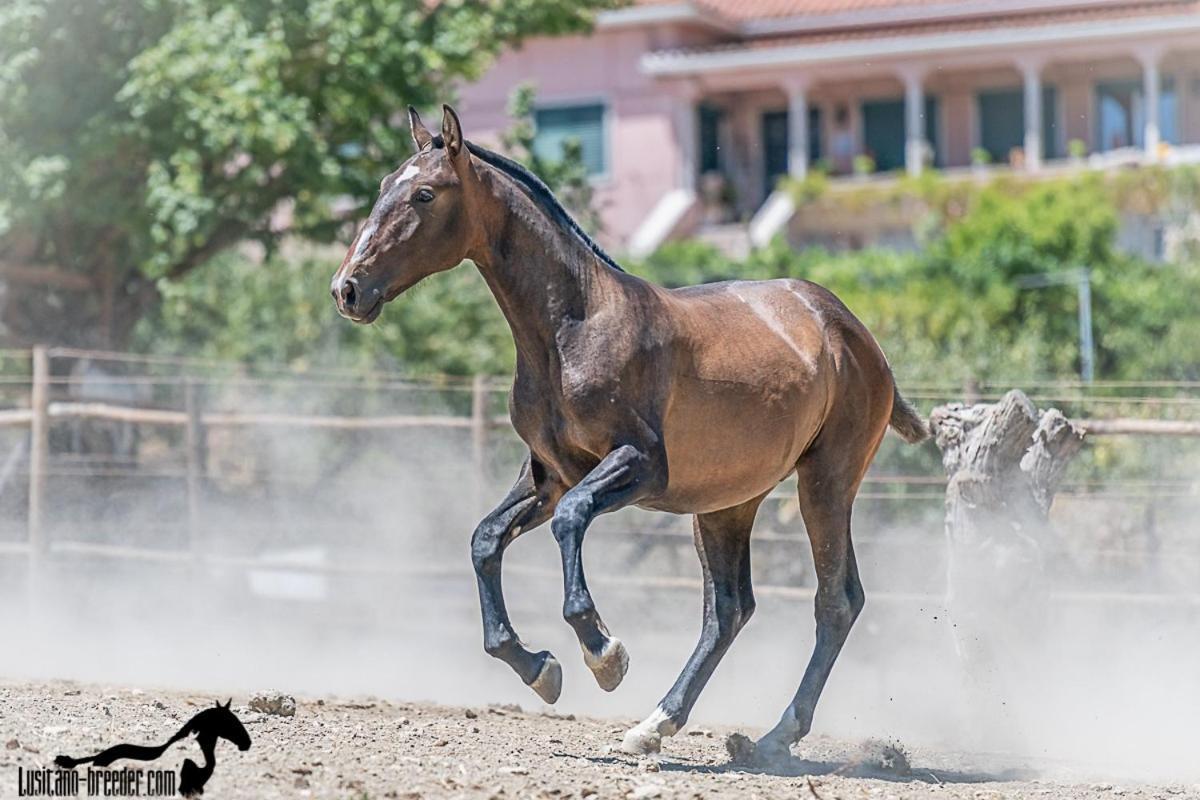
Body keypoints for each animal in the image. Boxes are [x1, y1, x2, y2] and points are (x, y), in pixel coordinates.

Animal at [333, 106, 931, 762]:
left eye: (424, 193)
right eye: (383, 185)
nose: (348, 289)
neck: (572, 328)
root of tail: (851, 329)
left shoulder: (640, 466)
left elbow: (571, 519)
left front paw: (603, 654)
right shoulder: (548, 473)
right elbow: (485, 540)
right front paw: (539, 669)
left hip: (825, 482)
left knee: (835, 600)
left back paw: (776, 734)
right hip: (726, 503)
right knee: (727, 611)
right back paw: (655, 725)